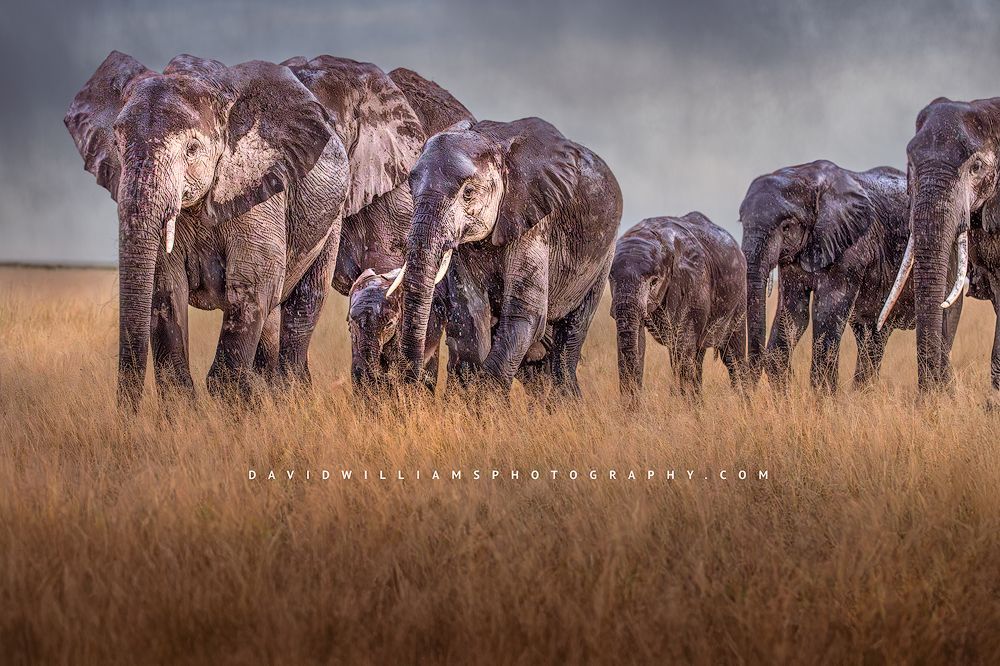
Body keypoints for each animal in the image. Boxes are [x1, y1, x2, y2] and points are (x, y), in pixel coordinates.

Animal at [65, 52, 426, 408]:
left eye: (192, 149)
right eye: (116, 142)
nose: (128, 413)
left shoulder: (262, 187)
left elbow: (254, 281)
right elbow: (166, 289)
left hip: (330, 215)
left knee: (304, 300)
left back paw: (289, 397)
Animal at [397, 117, 623, 399]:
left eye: (468, 193)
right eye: (410, 188)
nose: (411, 379)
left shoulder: (534, 217)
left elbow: (524, 311)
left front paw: (486, 402)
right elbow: (471, 311)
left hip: (604, 257)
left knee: (571, 336)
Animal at [610, 213, 747, 398]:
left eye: (654, 281)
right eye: (610, 278)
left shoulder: (694, 283)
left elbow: (683, 347)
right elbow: (638, 341)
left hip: (739, 297)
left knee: (732, 356)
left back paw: (744, 400)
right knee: (697, 355)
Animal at [740, 160, 936, 393]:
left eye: (786, 226)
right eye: (741, 222)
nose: (748, 392)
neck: (806, 176)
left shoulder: (852, 248)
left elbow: (827, 311)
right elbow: (794, 315)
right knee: (873, 336)